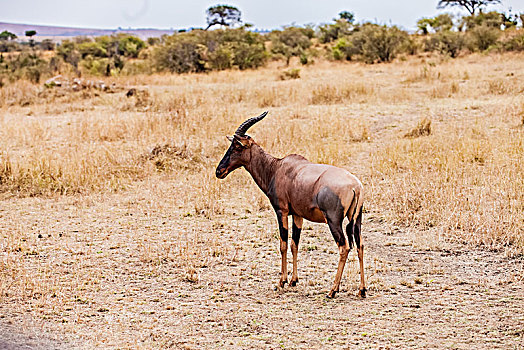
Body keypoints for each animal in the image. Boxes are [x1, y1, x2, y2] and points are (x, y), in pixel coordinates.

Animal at [216, 112, 364, 298]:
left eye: (237, 146)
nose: (219, 171)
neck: (277, 168)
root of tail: (355, 186)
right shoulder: (298, 215)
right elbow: (295, 244)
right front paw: (293, 280)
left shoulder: (282, 211)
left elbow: (283, 244)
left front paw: (281, 282)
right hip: (356, 219)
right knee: (360, 246)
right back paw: (362, 290)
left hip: (333, 221)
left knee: (344, 247)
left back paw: (332, 290)